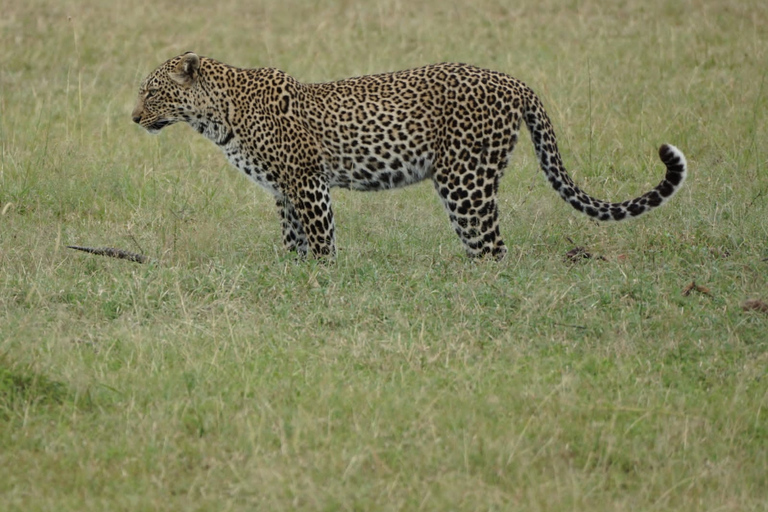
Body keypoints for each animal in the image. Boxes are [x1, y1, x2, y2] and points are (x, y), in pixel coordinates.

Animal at [132, 53, 688, 260]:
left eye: (152, 92)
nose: (133, 118)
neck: (217, 115)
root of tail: (515, 81)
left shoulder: (309, 183)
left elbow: (321, 241)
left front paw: (322, 280)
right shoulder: (283, 191)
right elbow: (293, 241)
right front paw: (292, 273)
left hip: (465, 181)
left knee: (493, 247)